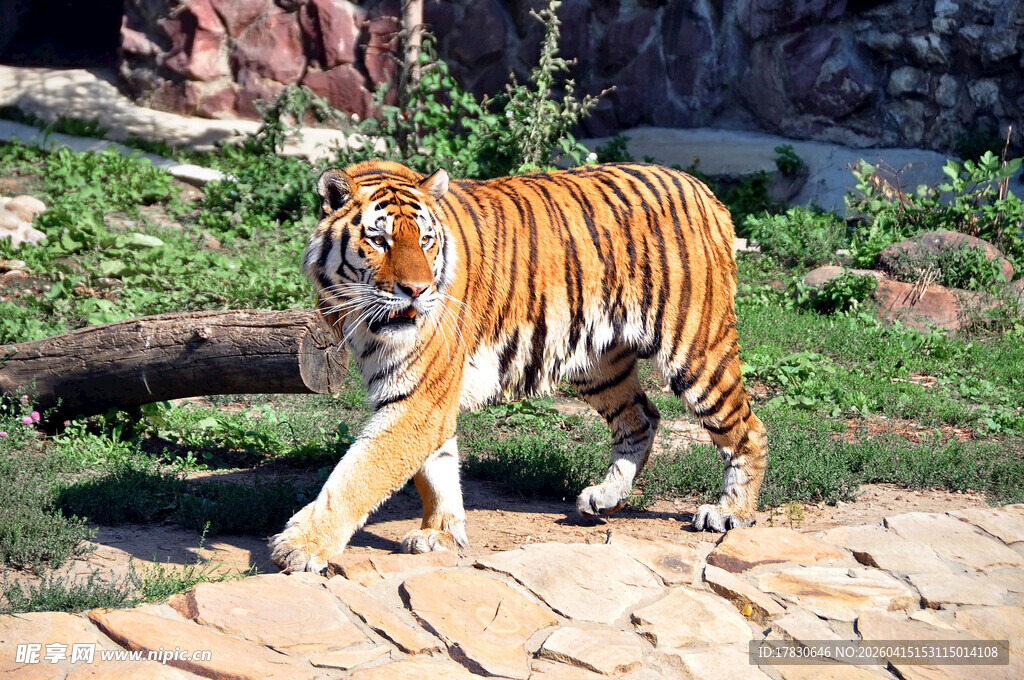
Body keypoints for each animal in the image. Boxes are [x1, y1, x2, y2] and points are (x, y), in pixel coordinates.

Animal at [270, 160, 767, 573]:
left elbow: (359, 474)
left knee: (748, 427)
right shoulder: (421, 396)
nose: (417, 290)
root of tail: (702, 189)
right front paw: (441, 534)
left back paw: (730, 513)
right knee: (641, 418)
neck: (365, 319)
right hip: (598, 361)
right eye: (379, 239)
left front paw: (300, 546)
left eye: (425, 240)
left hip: (695, 347)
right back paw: (605, 497)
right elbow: (437, 469)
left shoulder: (420, 397)